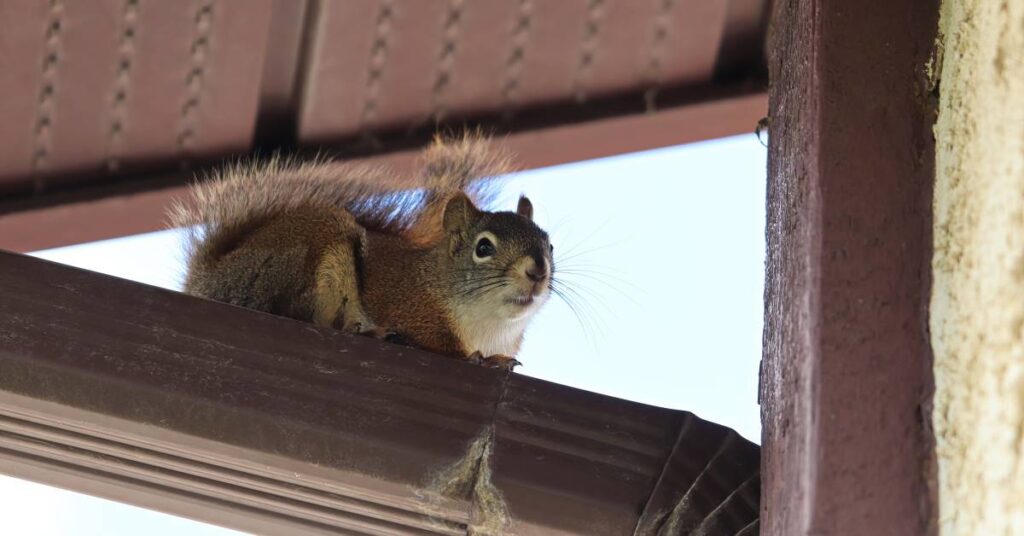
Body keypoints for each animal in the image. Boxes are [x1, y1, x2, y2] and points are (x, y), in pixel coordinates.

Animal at [169, 134, 552, 368]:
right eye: (483, 247)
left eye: (548, 244)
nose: (537, 270)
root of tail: (209, 279)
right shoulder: (414, 310)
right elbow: (440, 345)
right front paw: (480, 359)